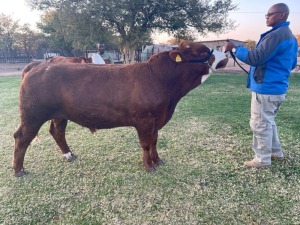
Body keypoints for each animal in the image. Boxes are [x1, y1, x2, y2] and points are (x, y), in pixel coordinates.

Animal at [12, 41, 227, 177]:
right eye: (202, 52)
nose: (224, 56)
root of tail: (38, 65)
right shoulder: (144, 120)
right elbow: (146, 144)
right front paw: (148, 167)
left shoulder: (156, 120)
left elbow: (154, 141)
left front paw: (157, 161)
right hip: (32, 114)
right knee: (21, 137)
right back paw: (18, 170)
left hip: (59, 114)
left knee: (57, 131)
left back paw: (69, 155)